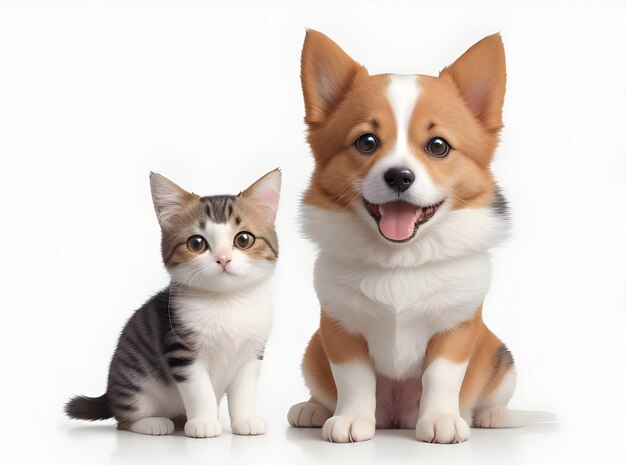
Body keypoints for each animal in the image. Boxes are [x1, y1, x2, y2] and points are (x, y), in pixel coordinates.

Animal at [64, 169, 280, 436]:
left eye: (243, 240)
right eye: (197, 243)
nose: (223, 259)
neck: (225, 300)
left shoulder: (252, 353)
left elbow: (244, 392)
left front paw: (245, 421)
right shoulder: (181, 351)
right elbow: (200, 390)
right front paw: (204, 423)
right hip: (134, 385)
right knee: (124, 421)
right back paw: (154, 423)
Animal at [288, 29, 544, 442]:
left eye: (438, 145)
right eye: (366, 142)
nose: (399, 176)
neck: (401, 256)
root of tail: (396, 417)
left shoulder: (456, 327)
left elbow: (441, 377)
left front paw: (440, 420)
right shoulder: (340, 327)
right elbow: (353, 379)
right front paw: (350, 420)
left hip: (500, 357)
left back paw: (490, 417)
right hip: (313, 350)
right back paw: (311, 409)